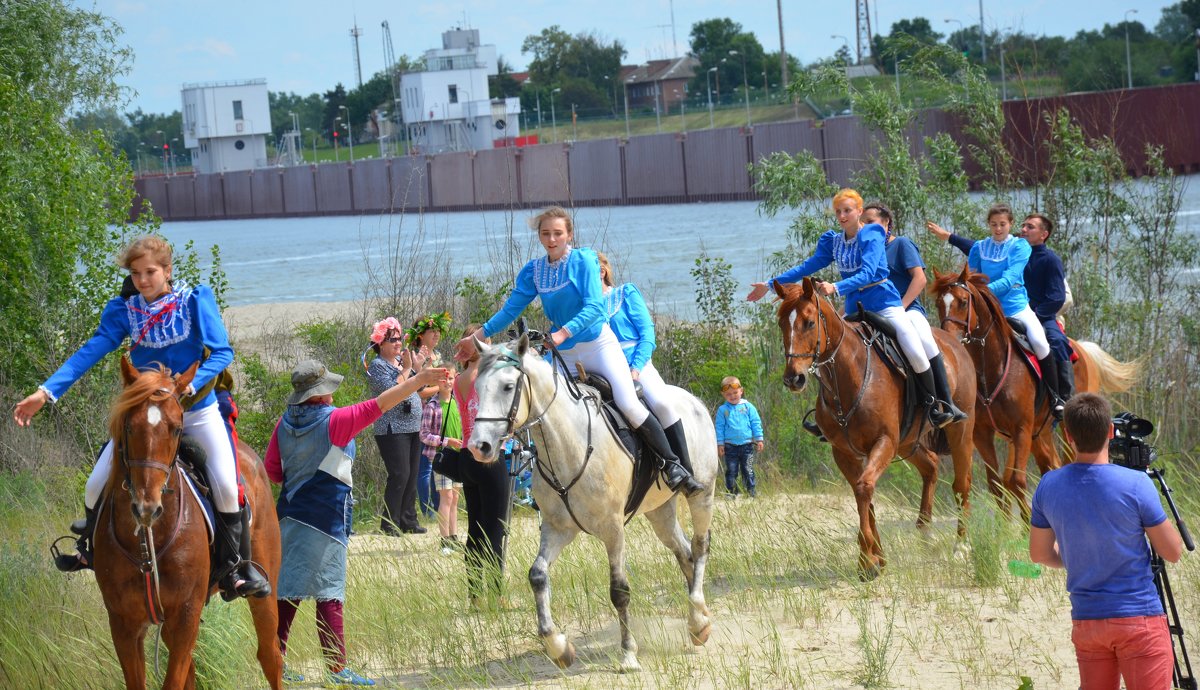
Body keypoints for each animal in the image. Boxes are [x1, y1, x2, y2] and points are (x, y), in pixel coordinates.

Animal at [93, 355, 283, 690]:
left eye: (176, 429)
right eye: (128, 426)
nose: (147, 506)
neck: (148, 541)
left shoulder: (185, 616)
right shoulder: (124, 623)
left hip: (264, 587)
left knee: (270, 655)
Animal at [468, 336, 715, 676]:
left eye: (507, 387)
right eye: (477, 388)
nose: (479, 447)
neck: (567, 444)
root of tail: (695, 402)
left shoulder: (613, 529)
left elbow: (619, 591)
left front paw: (628, 655)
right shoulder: (558, 528)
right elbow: (537, 575)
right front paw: (559, 647)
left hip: (702, 495)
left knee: (700, 546)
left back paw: (699, 612)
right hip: (660, 511)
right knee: (683, 551)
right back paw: (697, 623)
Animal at [772, 278, 979, 580]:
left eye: (809, 323)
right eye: (781, 323)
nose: (793, 378)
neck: (850, 376)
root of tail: (956, 343)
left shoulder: (883, 443)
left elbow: (864, 488)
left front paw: (868, 559)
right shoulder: (844, 452)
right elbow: (864, 496)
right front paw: (873, 558)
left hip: (960, 430)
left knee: (961, 484)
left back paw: (961, 547)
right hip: (908, 441)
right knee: (930, 467)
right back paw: (924, 533)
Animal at [931, 267, 1137, 520]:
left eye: (962, 301)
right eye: (939, 303)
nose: (948, 338)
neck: (991, 367)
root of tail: (1082, 349)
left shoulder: (1021, 429)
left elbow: (1017, 481)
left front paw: (1028, 522)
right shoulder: (983, 434)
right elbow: (997, 484)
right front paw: (1006, 525)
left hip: (1067, 428)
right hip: (1040, 433)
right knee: (1050, 466)